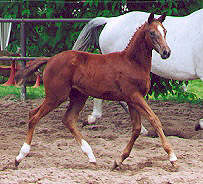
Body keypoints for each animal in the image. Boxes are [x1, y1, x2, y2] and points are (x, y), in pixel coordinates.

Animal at [15, 13, 177, 169]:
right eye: (152, 33)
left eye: (165, 31)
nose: (166, 52)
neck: (132, 63)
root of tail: (50, 59)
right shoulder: (134, 96)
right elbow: (154, 120)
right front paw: (172, 157)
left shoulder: (132, 100)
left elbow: (137, 129)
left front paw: (118, 160)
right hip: (56, 96)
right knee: (34, 116)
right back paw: (20, 157)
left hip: (78, 97)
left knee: (68, 119)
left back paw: (91, 156)